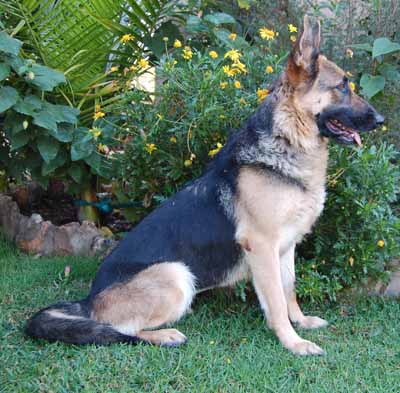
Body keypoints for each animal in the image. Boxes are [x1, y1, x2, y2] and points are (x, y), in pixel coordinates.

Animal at [25, 16, 384, 356]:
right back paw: (165, 335)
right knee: (119, 331)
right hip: (176, 275)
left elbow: (289, 290)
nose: (381, 120)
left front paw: (302, 322)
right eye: (342, 87)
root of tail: (88, 301)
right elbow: (276, 303)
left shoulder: (287, 246)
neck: (286, 139)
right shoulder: (263, 247)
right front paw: (292, 342)